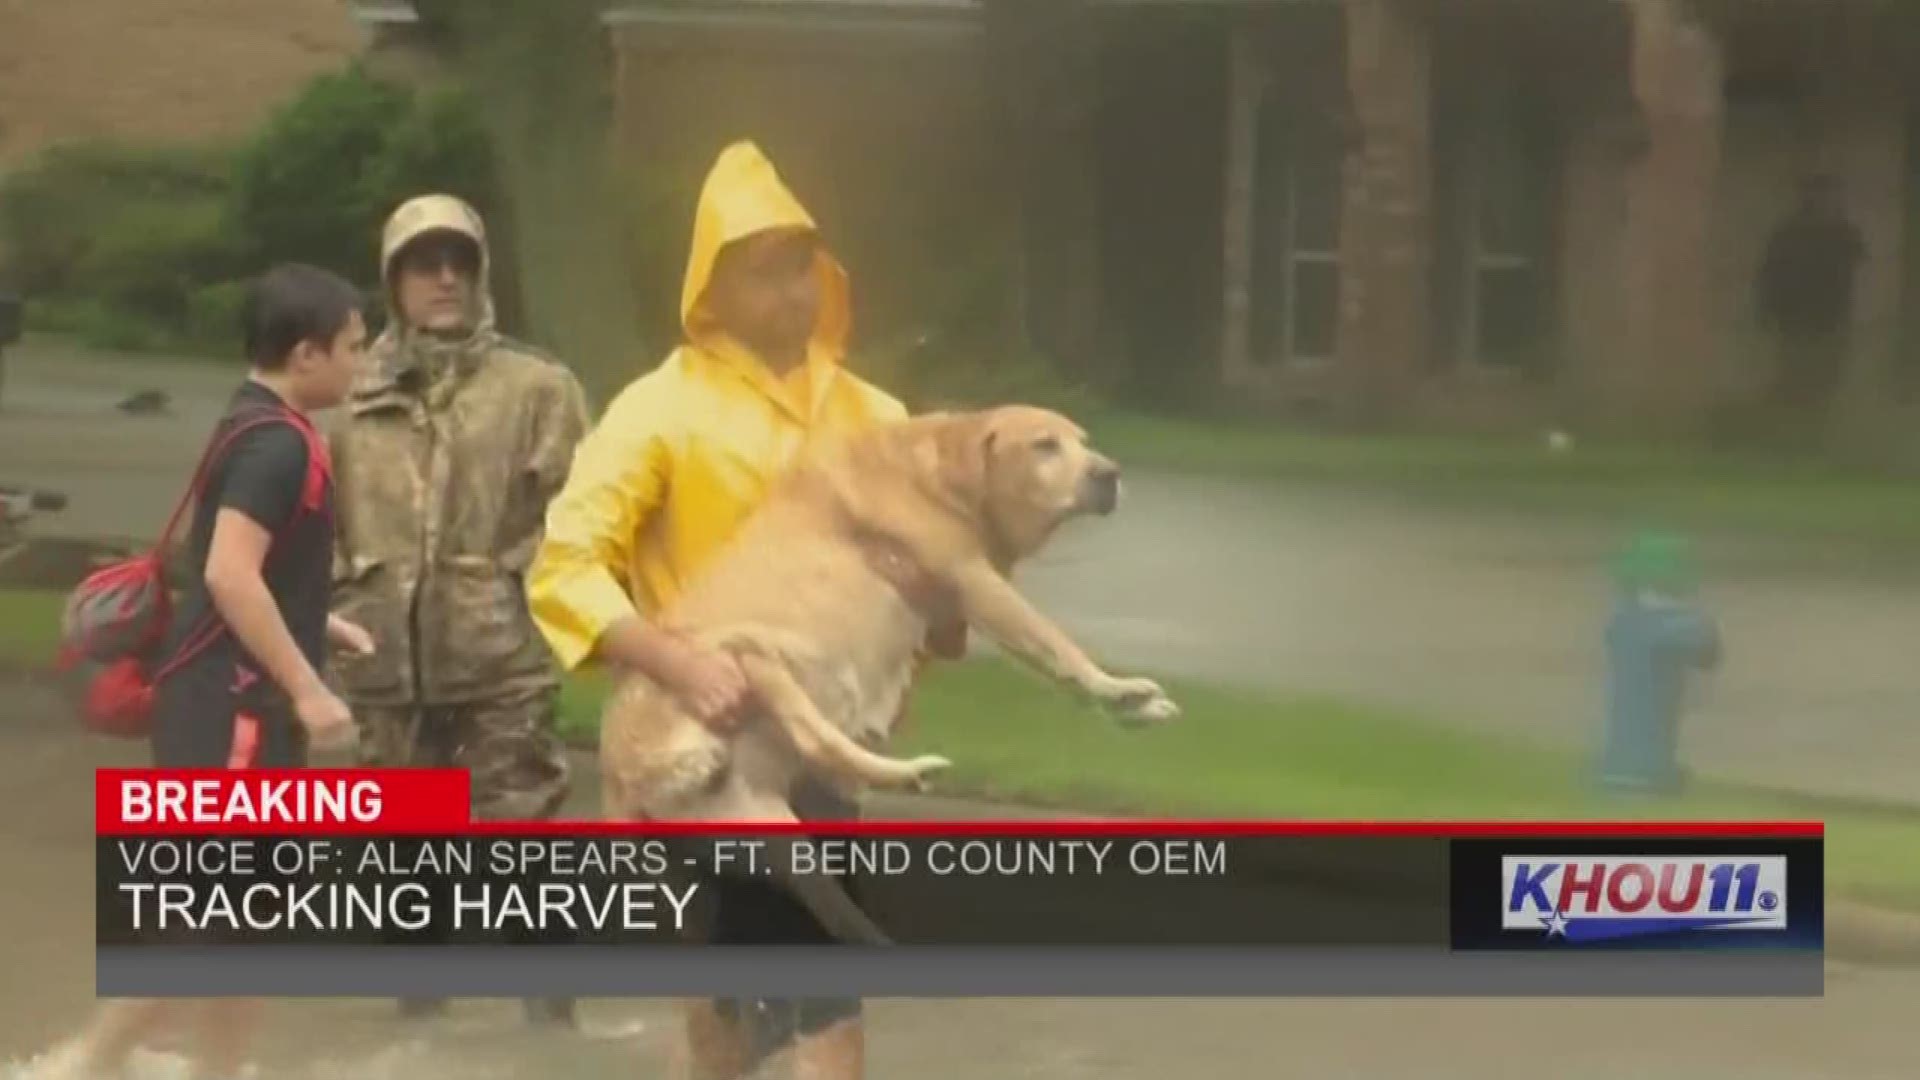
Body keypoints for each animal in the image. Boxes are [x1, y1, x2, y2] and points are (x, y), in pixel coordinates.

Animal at [599, 403, 1175, 941]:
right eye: (1044, 445)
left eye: (1082, 440)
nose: (1109, 473)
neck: (942, 474)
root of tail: (619, 777)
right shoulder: (974, 581)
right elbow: (1059, 648)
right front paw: (1121, 691)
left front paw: (1133, 708)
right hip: (749, 656)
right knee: (815, 738)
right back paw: (910, 769)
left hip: (770, 834)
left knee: (832, 903)